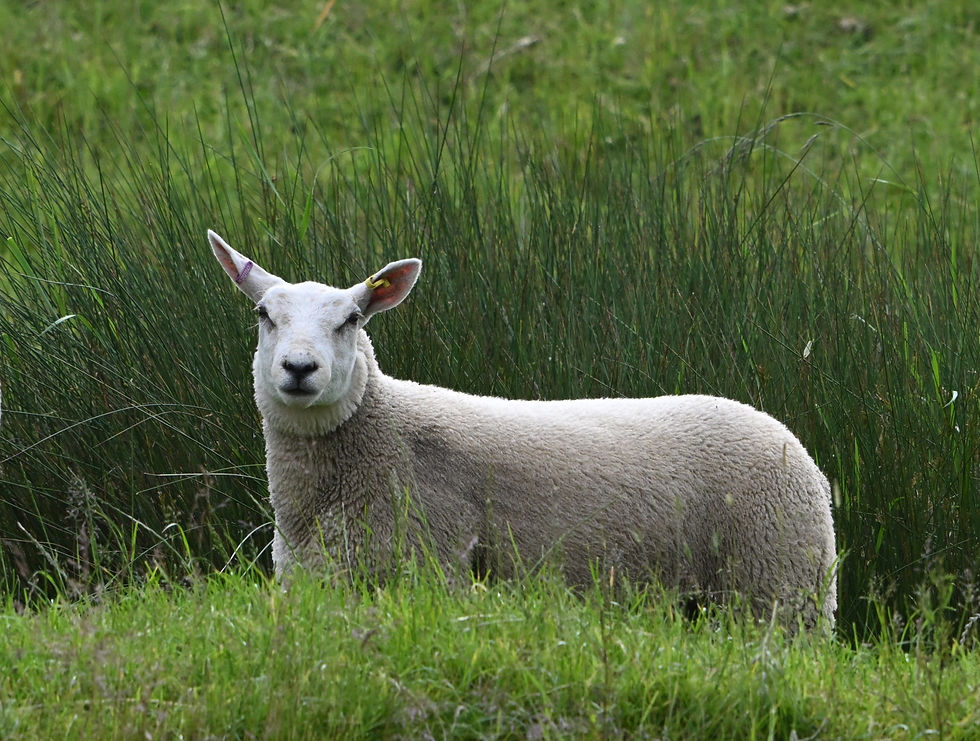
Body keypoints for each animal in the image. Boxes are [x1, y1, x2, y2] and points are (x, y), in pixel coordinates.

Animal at [208, 229, 837, 629]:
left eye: (352, 319)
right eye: (263, 314)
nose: (299, 368)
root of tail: (790, 439)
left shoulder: (432, 565)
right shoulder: (317, 579)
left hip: (779, 580)